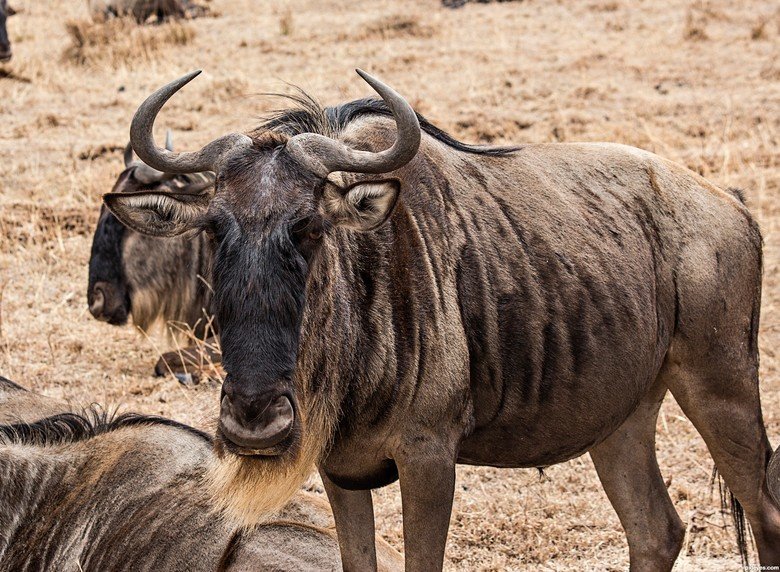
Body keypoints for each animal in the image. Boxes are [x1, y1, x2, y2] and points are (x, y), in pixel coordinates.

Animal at [105, 69, 780, 571]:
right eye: (214, 230)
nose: (253, 421)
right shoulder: (341, 471)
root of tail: (730, 206)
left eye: (310, 227)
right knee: (655, 530)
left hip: (721, 389)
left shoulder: (430, 458)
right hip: (621, 417)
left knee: (765, 515)